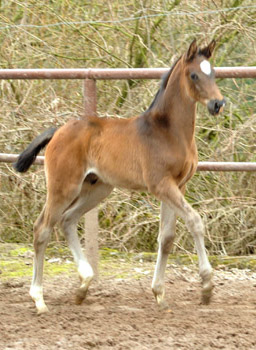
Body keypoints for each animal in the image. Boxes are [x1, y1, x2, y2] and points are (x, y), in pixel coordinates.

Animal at [15, 39, 225, 314]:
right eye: (194, 75)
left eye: (213, 72)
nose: (218, 104)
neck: (169, 131)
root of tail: (58, 130)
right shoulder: (162, 185)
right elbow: (195, 221)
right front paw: (207, 288)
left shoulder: (177, 186)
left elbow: (166, 238)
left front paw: (160, 294)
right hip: (64, 187)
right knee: (42, 228)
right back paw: (39, 299)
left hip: (97, 188)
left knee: (67, 220)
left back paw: (84, 285)